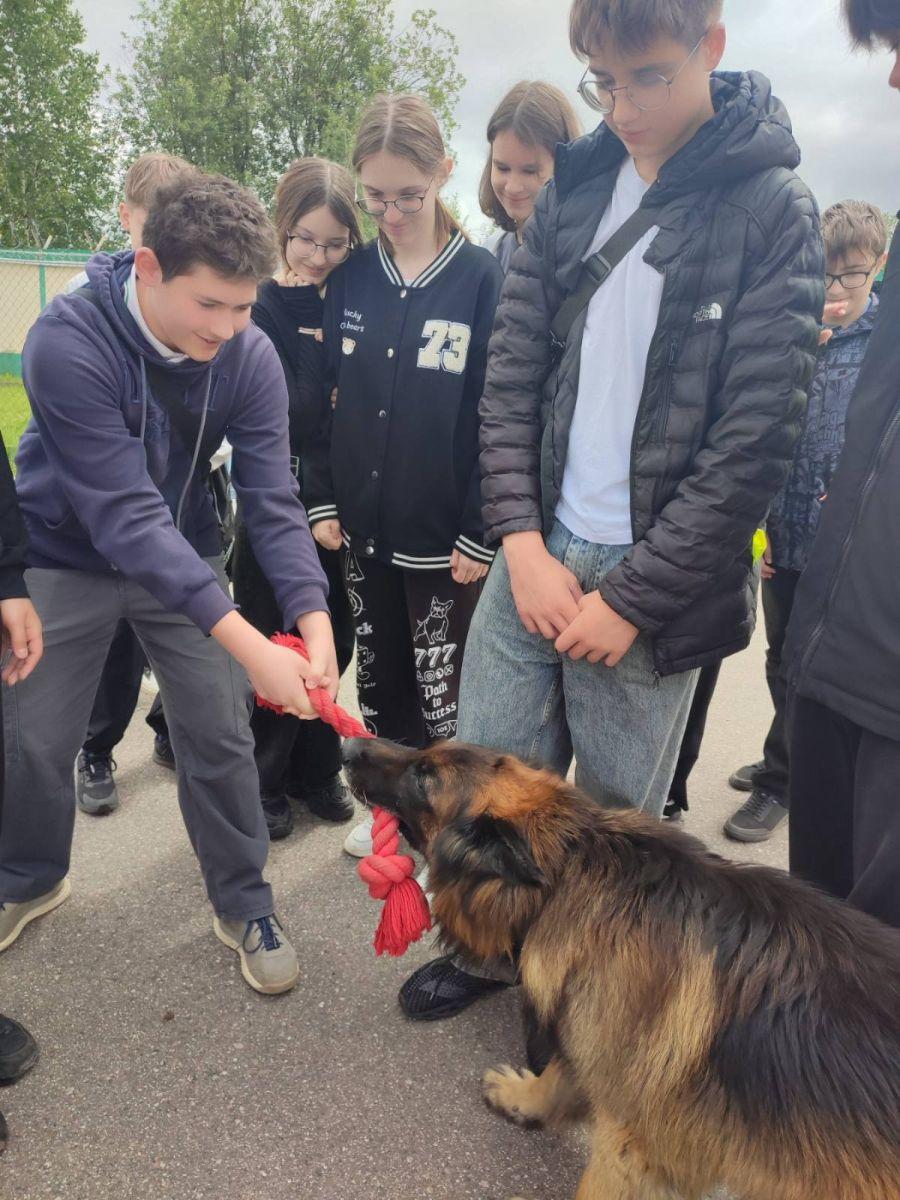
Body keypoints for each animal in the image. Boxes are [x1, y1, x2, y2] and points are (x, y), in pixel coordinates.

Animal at [343, 737, 900, 1200]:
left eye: (424, 777)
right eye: (424, 754)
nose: (348, 745)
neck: (571, 871)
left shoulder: (631, 1144)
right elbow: (561, 1070)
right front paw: (525, 1099)